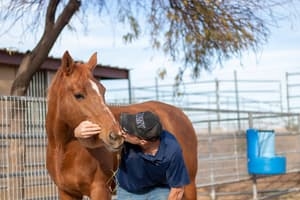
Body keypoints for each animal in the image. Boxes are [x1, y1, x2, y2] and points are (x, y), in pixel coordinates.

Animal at [45, 50, 198, 199]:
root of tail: (181, 114)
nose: (115, 135)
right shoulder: (67, 192)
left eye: (103, 90)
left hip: (189, 185)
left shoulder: (100, 190)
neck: (63, 148)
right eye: (78, 95)